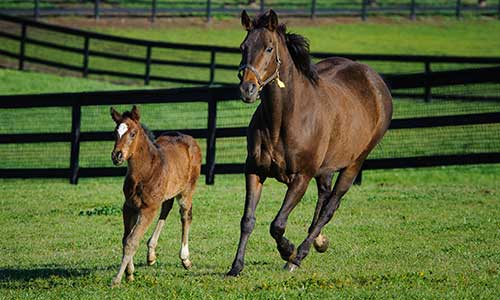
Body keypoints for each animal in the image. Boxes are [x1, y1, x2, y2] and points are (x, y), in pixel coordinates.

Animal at [110, 105, 202, 286]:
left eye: (133, 133)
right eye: (115, 132)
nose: (117, 156)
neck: (145, 171)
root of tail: (190, 139)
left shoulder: (148, 209)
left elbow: (131, 241)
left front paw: (117, 279)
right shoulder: (129, 207)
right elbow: (126, 238)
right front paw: (130, 273)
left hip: (187, 190)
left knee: (185, 216)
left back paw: (185, 259)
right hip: (167, 193)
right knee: (166, 209)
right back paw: (151, 253)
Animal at [228, 9, 394, 276]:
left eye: (269, 48)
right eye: (243, 47)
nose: (248, 89)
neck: (283, 120)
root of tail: (374, 80)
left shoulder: (301, 177)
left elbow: (277, 224)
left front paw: (288, 250)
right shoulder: (254, 171)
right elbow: (247, 220)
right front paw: (236, 267)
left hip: (354, 164)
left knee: (330, 207)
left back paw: (299, 255)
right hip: (326, 168)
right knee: (323, 199)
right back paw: (317, 243)